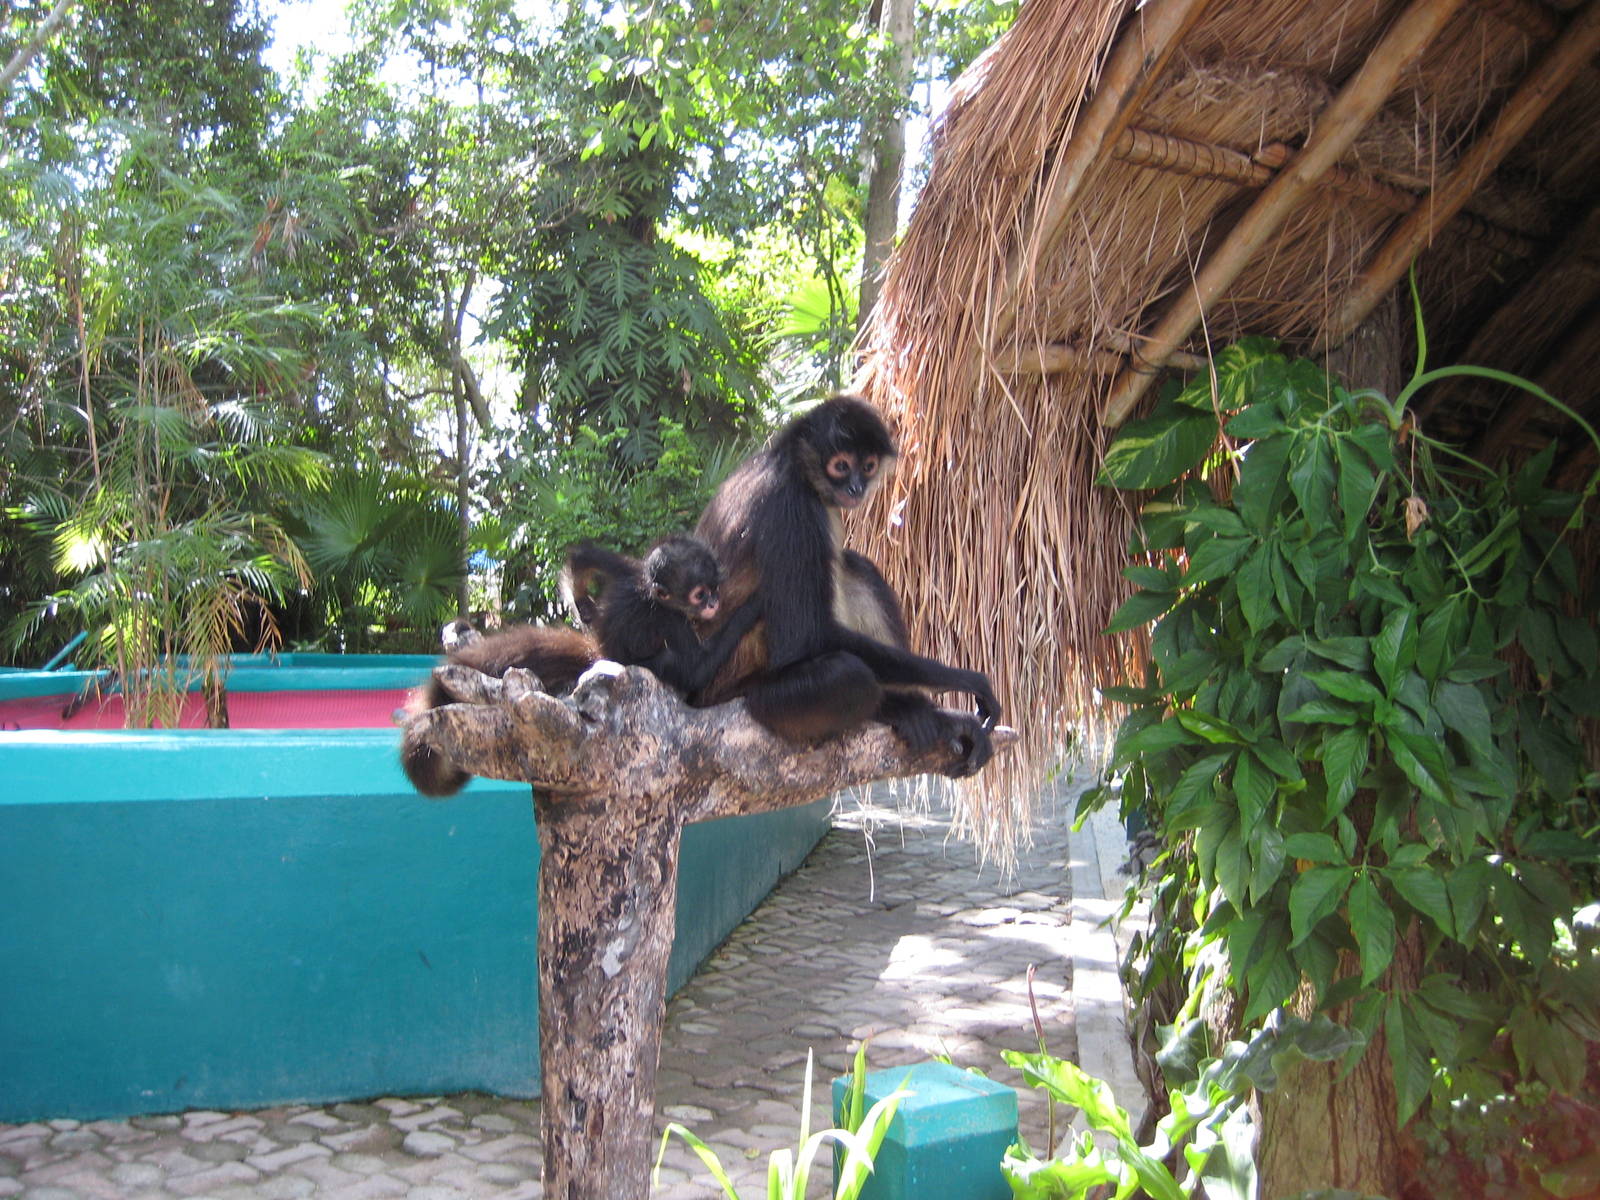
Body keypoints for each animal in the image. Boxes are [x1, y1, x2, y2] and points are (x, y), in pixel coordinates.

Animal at [691, 395, 1000, 776]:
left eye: (867, 466)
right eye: (840, 466)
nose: (855, 488)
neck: (791, 466)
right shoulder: (792, 508)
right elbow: (806, 638)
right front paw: (966, 682)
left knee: (855, 567)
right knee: (847, 674)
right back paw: (910, 711)